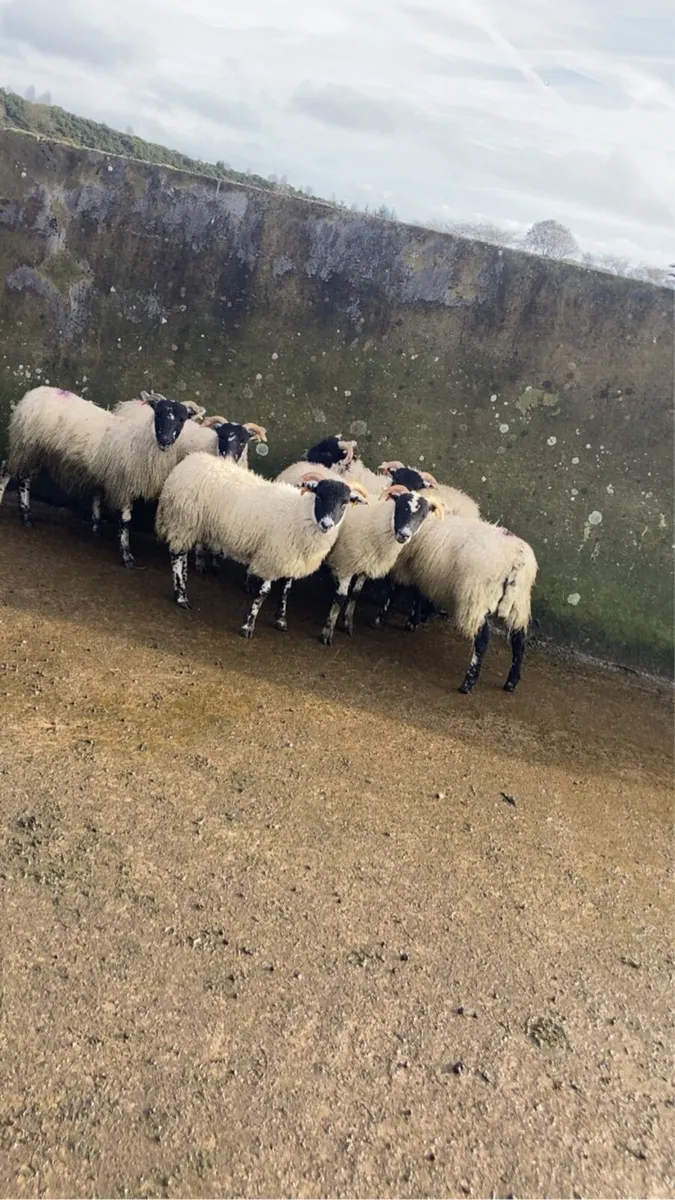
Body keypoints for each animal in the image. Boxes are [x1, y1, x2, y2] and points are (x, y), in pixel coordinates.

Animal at [155, 456, 368, 636]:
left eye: (345, 503)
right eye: (319, 497)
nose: (327, 524)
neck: (301, 514)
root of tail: (187, 461)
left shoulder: (290, 559)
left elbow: (285, 591)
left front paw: (281, 620)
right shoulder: (271, 556)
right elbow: (263, 593)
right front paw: (248, 626)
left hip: (189, 525)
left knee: (181, 555)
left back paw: (181, 585)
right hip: (183, 520)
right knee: (176, 555)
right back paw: (181, 596)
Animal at [320, 483, 444, 645]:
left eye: (423, 516)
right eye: (399, 507)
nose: (404, 535)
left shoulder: (365, 566)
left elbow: (355, 595)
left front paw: (348, 624)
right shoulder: (345, 564)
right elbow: (340, 598)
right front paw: (327, 633)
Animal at [374, 515, 538, 693]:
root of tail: (518, 558)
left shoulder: (403, 564)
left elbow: (394, 590)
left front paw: (380, 618)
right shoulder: (420, 567)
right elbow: (419, 592)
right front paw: (414, 620)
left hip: (476, 598)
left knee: (483, 640)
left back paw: (468, 683)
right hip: (518, 603)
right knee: (519, 640)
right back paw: (511, 682)